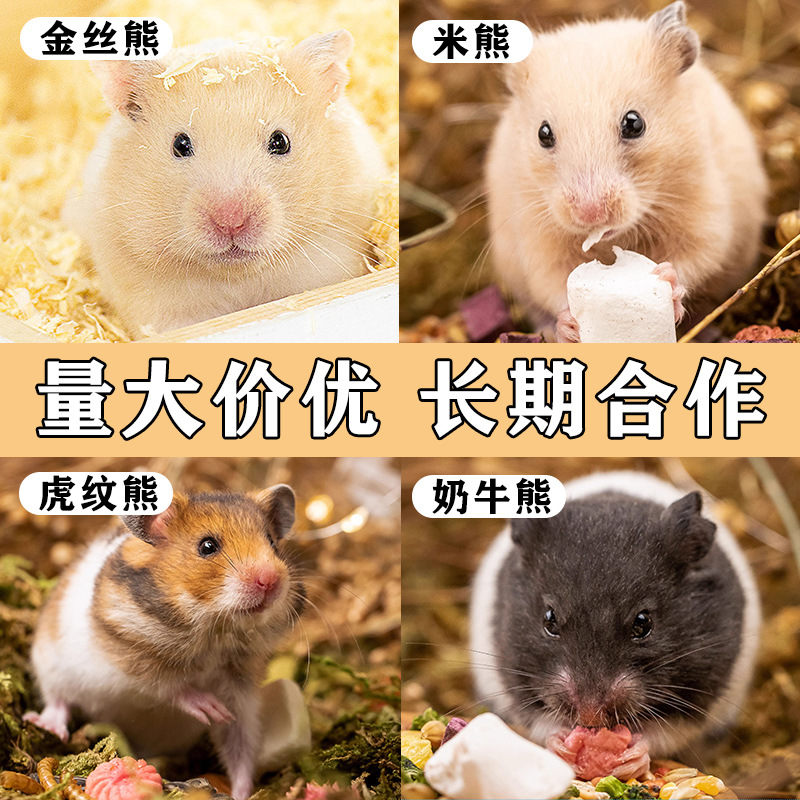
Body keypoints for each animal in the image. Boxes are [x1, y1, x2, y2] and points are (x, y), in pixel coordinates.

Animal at [24, 486, 304, 800]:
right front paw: (211, 709)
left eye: (272, 542)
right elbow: (171, 686)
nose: (271, 580)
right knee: (57, 699)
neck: (215, 632)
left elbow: (240, 745)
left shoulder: (241, 692)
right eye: (207, 546)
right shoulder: (128, 659)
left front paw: (241, 791)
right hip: (49, 662)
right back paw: (47, 724)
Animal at [470, 471, 761, 758]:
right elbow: (542, 724)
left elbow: (659, 735)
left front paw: (630, 756)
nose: (590, 716)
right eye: (549, 620)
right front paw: (562, 744)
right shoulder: (515, 682)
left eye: (643, 623)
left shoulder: (700, 694)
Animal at [486, 2, 768, 342]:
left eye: (634, 123)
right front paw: (569, 325)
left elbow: (696, 258)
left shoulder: (706, 214)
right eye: (543, 133)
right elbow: (551, 284)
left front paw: (665, 279)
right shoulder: (535, 231)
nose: (591, 214)